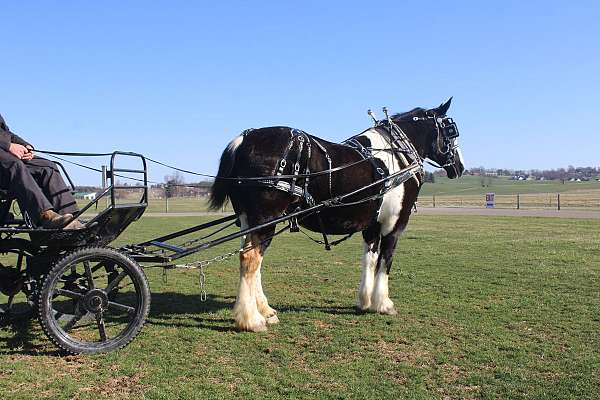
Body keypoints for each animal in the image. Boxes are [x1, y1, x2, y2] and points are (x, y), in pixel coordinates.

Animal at [210, 97, 464, 332]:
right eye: (451, 131)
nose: (460, 167)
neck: (396, 156)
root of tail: (244, 139)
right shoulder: (394, 225)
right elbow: (385, 260)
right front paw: (383, 304)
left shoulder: (372, 226)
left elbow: (370, 260)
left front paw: (365, 301)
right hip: (266, 218)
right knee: (250, 259)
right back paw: (252, 320)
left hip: (249, 220)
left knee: (252, 259)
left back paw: (265, 311)